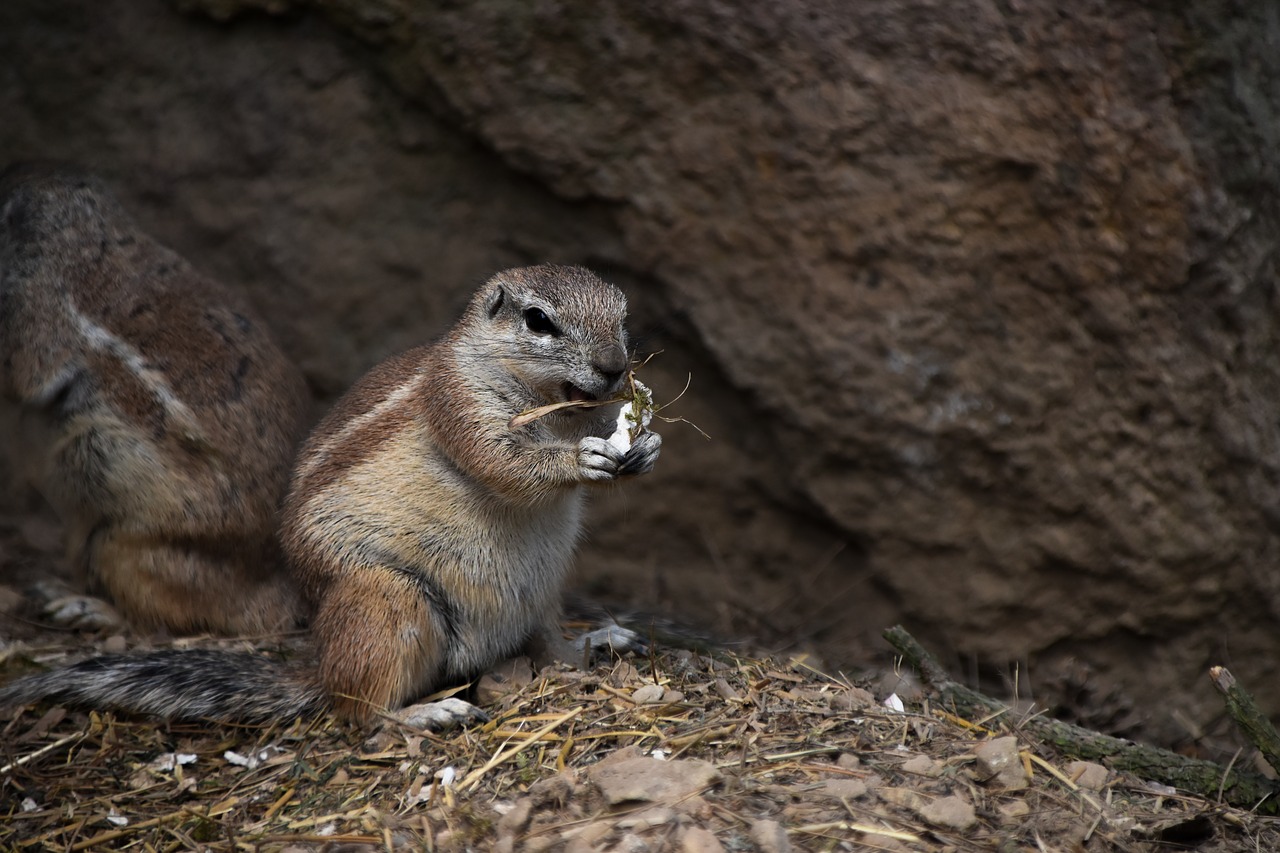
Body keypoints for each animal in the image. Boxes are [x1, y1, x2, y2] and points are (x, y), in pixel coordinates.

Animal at [0, 162, 307, 635]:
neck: (84, 231)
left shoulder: (32, 310)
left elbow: (23, 372)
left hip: (120, 542)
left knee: (163, 617)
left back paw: (86, 607)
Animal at [0, 262, 660, 722]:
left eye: (622, 313)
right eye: (538, 321)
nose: (614, 368)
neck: (556, 410)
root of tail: (320, 667)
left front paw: (644, 446)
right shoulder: (456, 401)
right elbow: (502, 462)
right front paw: (583, 458)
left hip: (542, 595)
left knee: (552, 651)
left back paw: (597, 642)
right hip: (386, 599)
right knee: (358, 712)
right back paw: (424, 712)